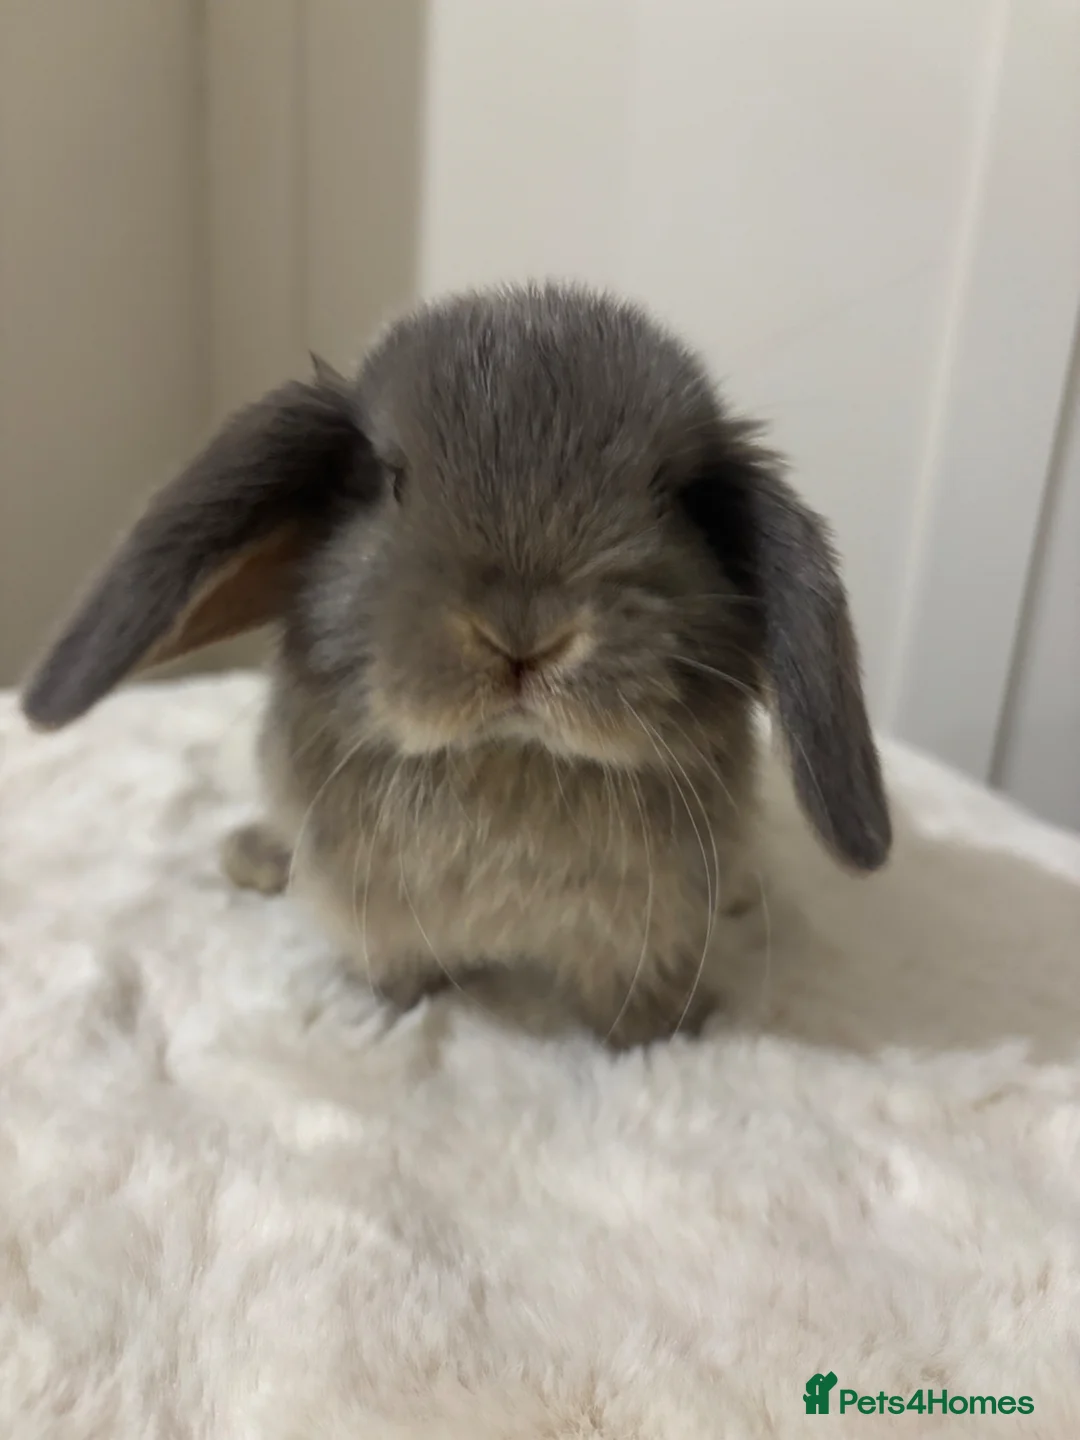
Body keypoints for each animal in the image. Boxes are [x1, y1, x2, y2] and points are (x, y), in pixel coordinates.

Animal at [21, 281, 891, 1048]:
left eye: (669, 497)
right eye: (393, 481)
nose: (523, 633)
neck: (510, 760)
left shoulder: (647, 937)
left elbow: (636, 998)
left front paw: (665, 1035)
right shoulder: (372, 914)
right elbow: (393, 967)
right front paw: (392, 1005)